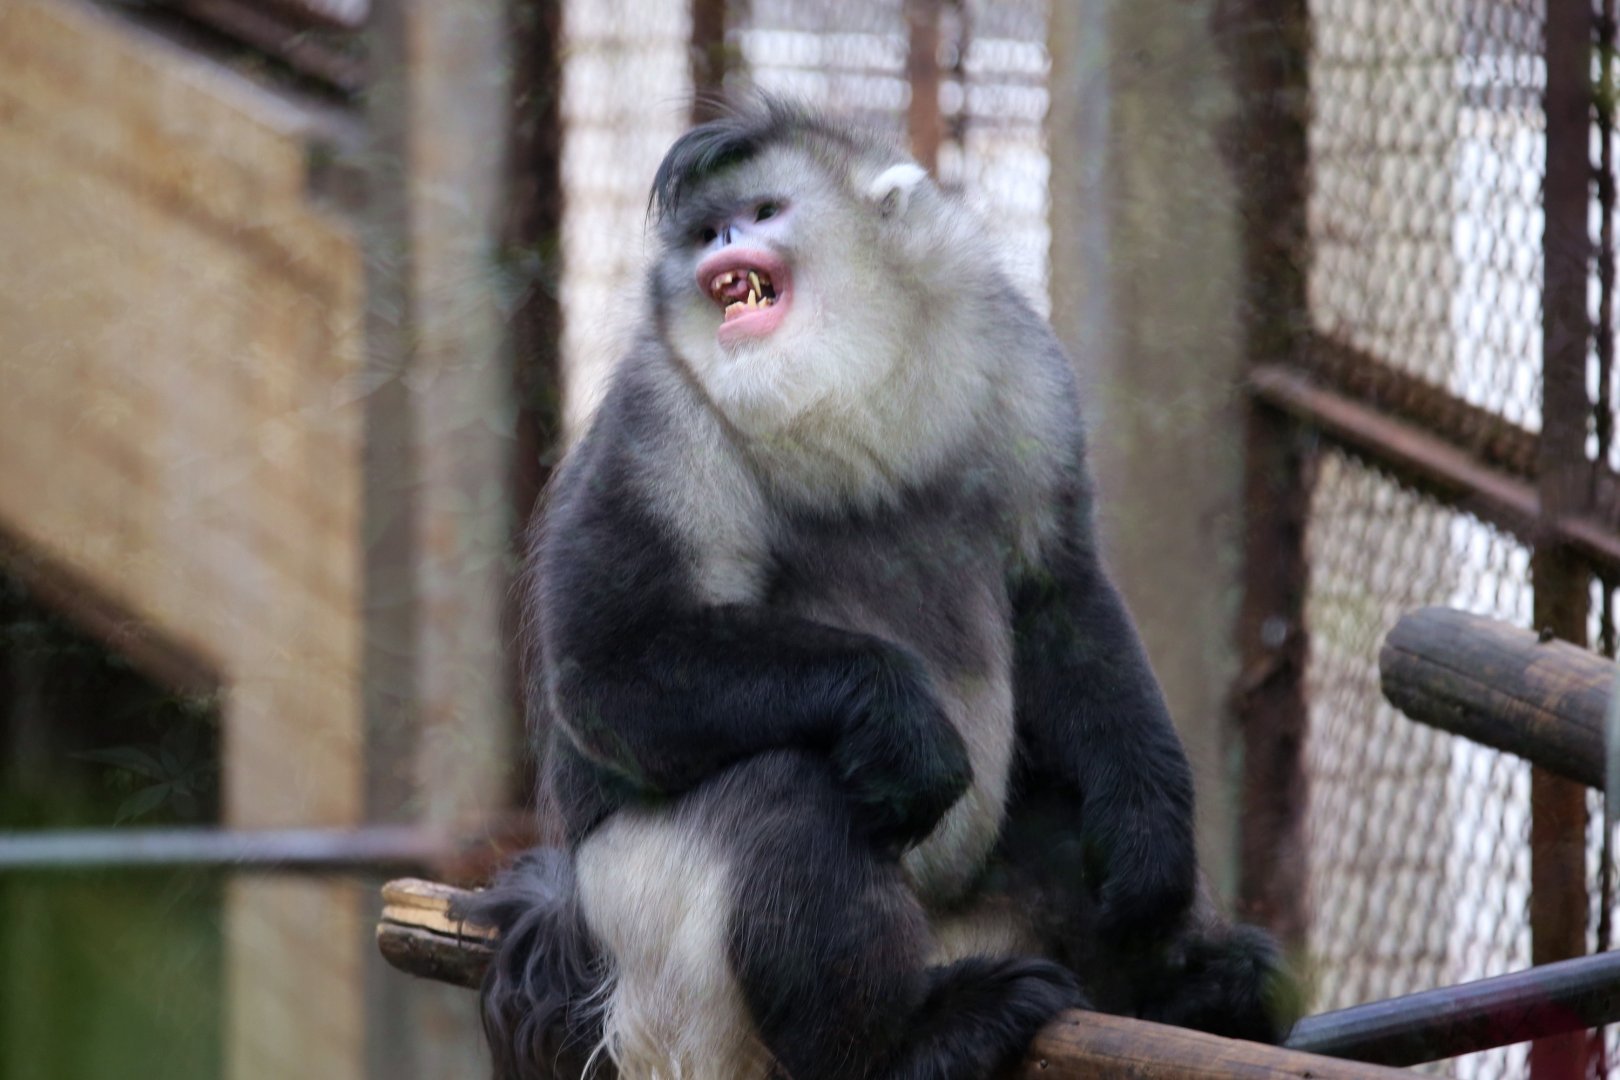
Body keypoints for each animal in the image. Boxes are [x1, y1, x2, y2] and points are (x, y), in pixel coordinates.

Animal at [457, 98, 1294, 1080]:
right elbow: (610, 667)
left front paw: (1151, 833)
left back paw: (1198, 997)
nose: (724, 243)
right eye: (705, 230)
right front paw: (896, 713)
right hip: (658, 944)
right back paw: (914, 1040)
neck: (850, 393)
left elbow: (1058, 591)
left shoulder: (1023, 368)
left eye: (762, 210)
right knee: (790, 788)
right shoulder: (658, 420)